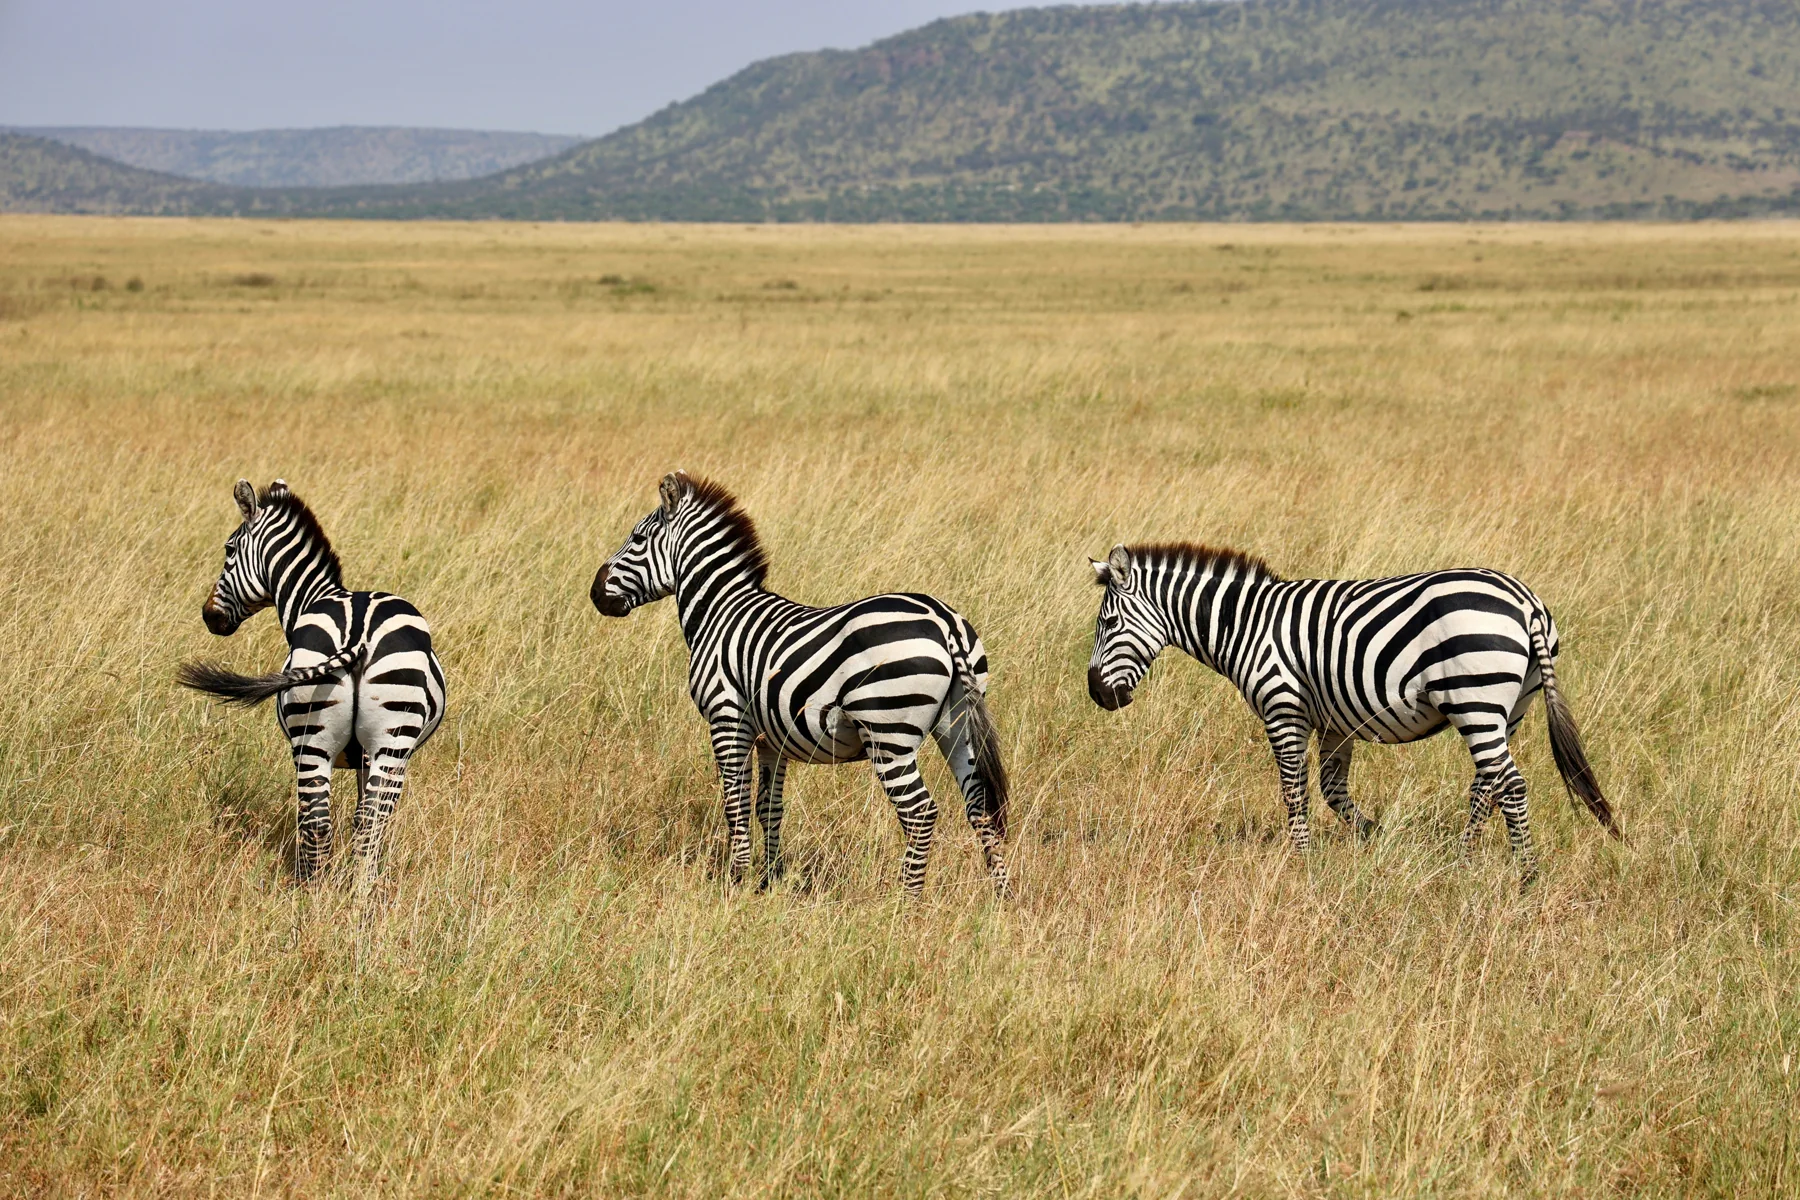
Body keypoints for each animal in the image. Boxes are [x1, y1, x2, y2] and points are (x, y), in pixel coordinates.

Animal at [177, 479, 446, 896]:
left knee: (324, 822)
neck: (315, 595)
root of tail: (357, 635)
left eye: (228, 549)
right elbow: (362, 815)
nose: (210, 617)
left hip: (320, 736)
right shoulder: (367, 757)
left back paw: (318, 898)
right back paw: (352, 898)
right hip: (384, 742)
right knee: (360, 823)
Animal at [591, 471, 1010, 896]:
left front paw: (735, 881)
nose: (595, 592)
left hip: (888, 733)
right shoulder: (770, 739)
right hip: (957, 726)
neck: (719, 612)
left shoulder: (727, 720)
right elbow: (768, 808)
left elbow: (735, 804)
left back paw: (908, 901)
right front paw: (769, 880)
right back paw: (1001, 896)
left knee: (920, 813)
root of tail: (944, 622)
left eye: (638, 538)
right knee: (981, 808)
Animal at [1085, 543, 1619, 885]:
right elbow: (1332, 790)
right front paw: (1375, 838)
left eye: (1108, 623)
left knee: (1510, 784)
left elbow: (1294, 788)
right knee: (1486, 785)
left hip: (1475, 700)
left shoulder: (1283, 707)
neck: (1245, 625)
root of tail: (1526, 603)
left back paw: (1527, 874)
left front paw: (1301, 861)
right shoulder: (1334, 723)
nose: (1096, 694)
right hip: (1510, 708)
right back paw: (1463, 862)